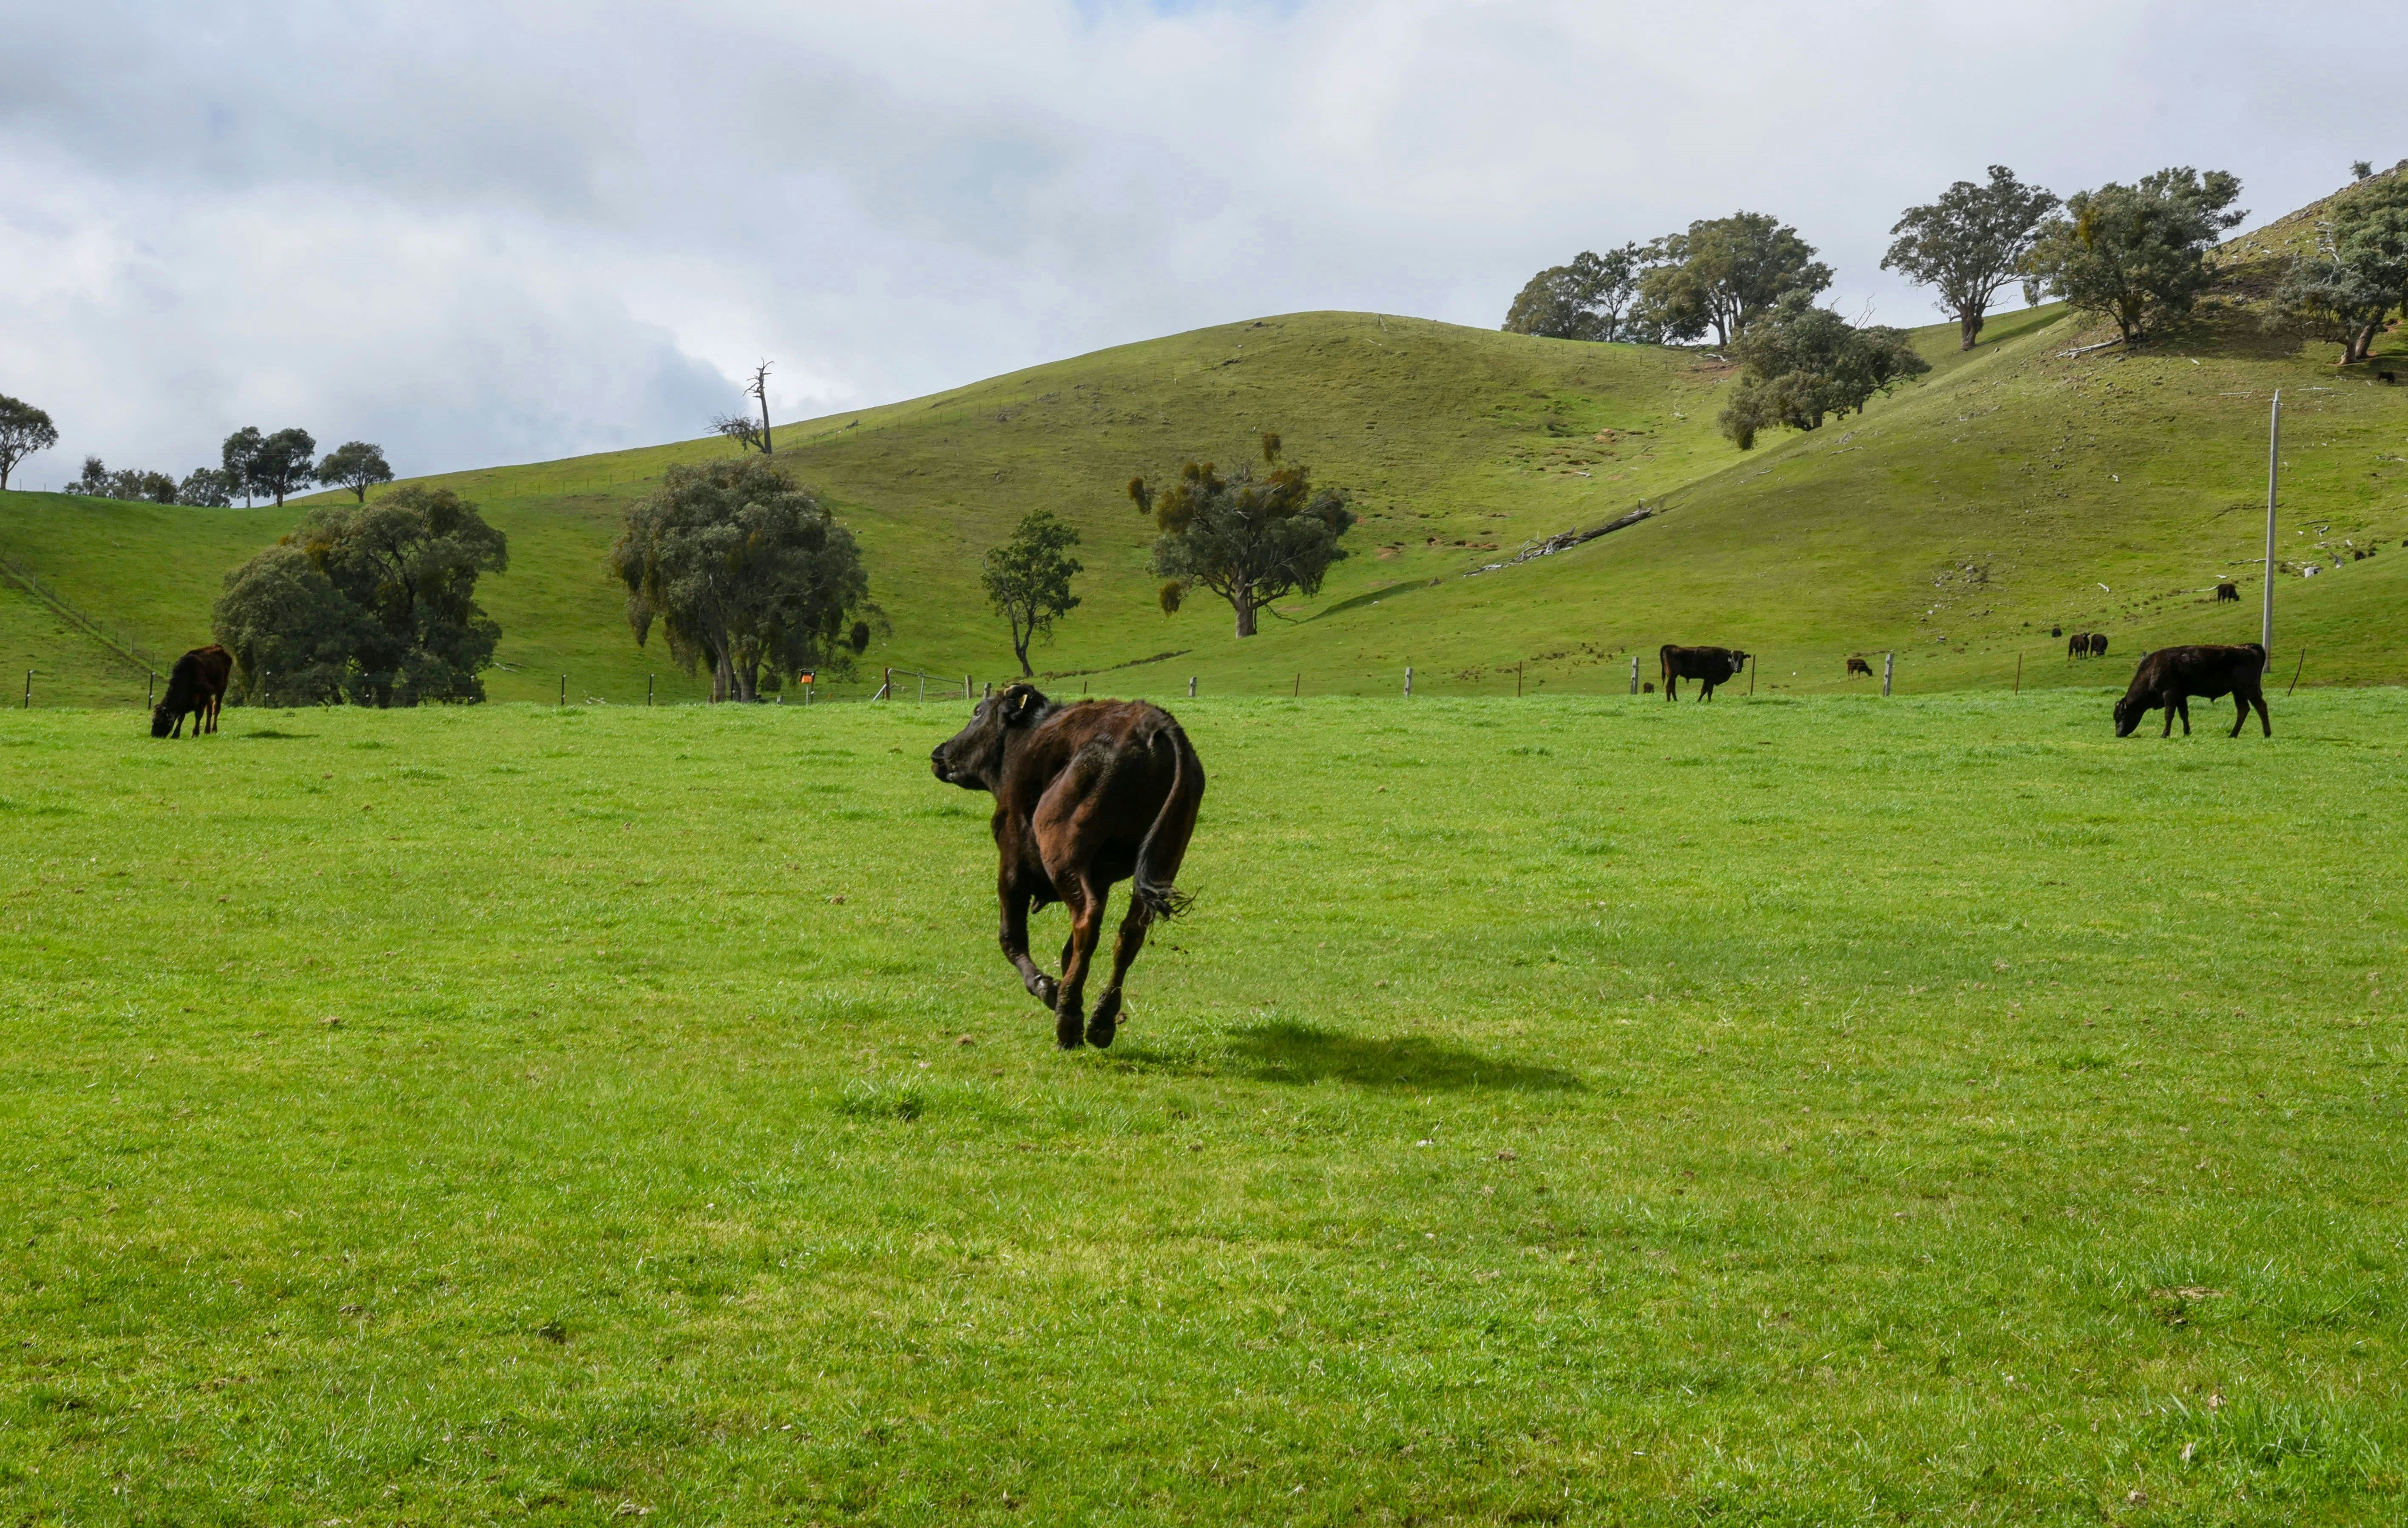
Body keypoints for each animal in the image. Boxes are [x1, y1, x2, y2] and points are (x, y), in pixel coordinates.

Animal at [150, 645, 232, 739]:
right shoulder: (186, 701)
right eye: (153, 720)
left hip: (222, 688)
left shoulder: (204, 695)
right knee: (210, 709)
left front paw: (195, 733)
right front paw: (176, 734)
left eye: (160, 721)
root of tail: (219, 647)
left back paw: (214, 729)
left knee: (216, 708)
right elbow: (181, 718)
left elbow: (198, 715)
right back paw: (207, 731)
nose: (154, 735)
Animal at [930, 683, 1205, 1050]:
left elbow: (1011, 938)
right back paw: (1101, 1020)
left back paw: (1069, 1017)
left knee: (1086, 919)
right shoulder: (1100, 878)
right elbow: (1067, 952)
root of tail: (1154, 727)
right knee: (1129, 932)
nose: (940, 752)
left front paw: (1047, 988)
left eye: (977, 712)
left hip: (1063, 853)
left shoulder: (1012, 863)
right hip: (1164, 858)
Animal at [1660, 645, 1749, 701]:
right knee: (1669, 687)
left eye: (1742, 660)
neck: (1724, 658)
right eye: (1733, 659)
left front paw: (1699, 700)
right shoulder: (1711, 679)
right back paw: (1669, 700)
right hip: (1672, 675)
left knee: (1672, 687)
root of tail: (1671, 647)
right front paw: (1709, 701)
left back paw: (1675, 700)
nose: (1738, 669)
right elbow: (1709, 691)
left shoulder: (1707, 679)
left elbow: (1703, 691)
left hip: (1673, 676)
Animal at [2114, 644, 2271, 739]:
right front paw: (2187, 733)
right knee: (2243, 710)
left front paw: (2165, 734)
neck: (2153, 669)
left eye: (2120, 716)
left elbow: (2169, 715)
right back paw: (2233, 734)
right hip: (2238, 692)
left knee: (2261, 707)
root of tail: (2248, 647)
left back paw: (2267, 733)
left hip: (2249, 689)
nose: (2118, 734)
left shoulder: (2170, 694)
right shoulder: (2181, 696)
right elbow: (2184, 714)